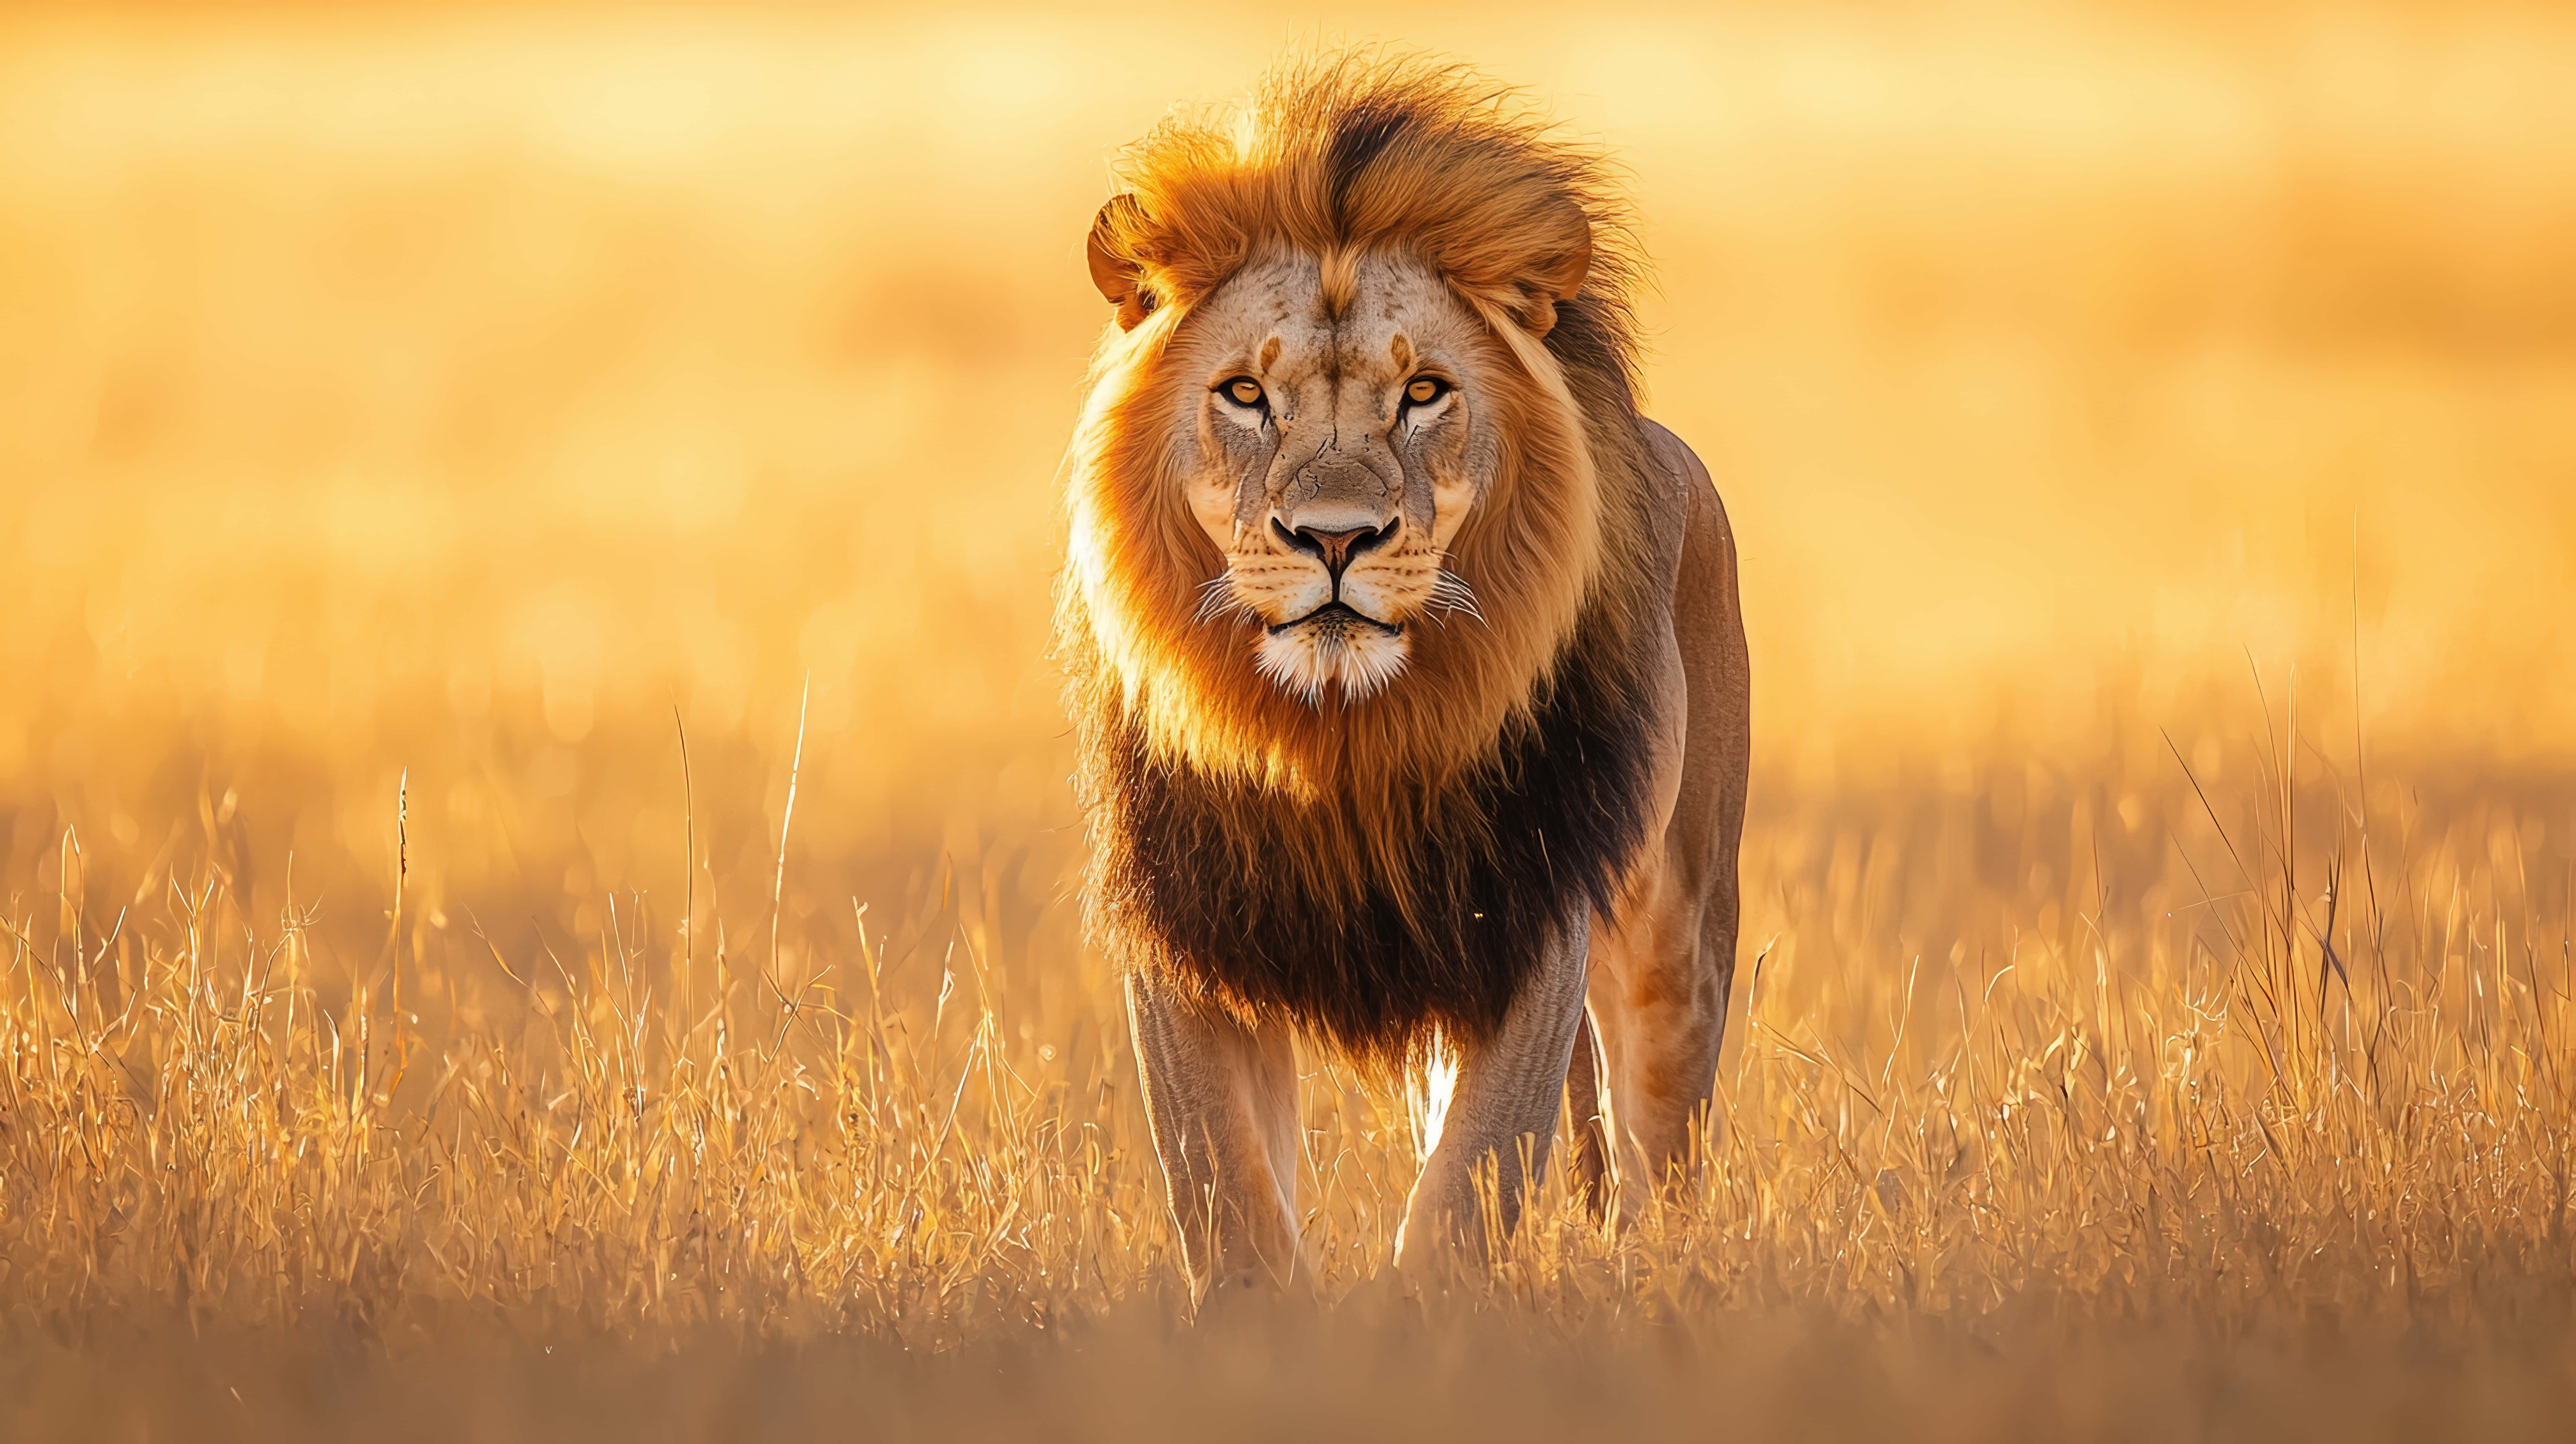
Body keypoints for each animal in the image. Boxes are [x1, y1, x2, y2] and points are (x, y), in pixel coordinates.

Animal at [1059, 54, 1750, 1293]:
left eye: (1423, 391)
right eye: (1244, 394)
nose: (1334, 539)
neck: (1336, 737)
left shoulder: (1528, 917)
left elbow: (1469, 1182)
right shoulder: (1184, 929)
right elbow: (1223, 1184)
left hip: (1681, 923)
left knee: (1660, 1146)